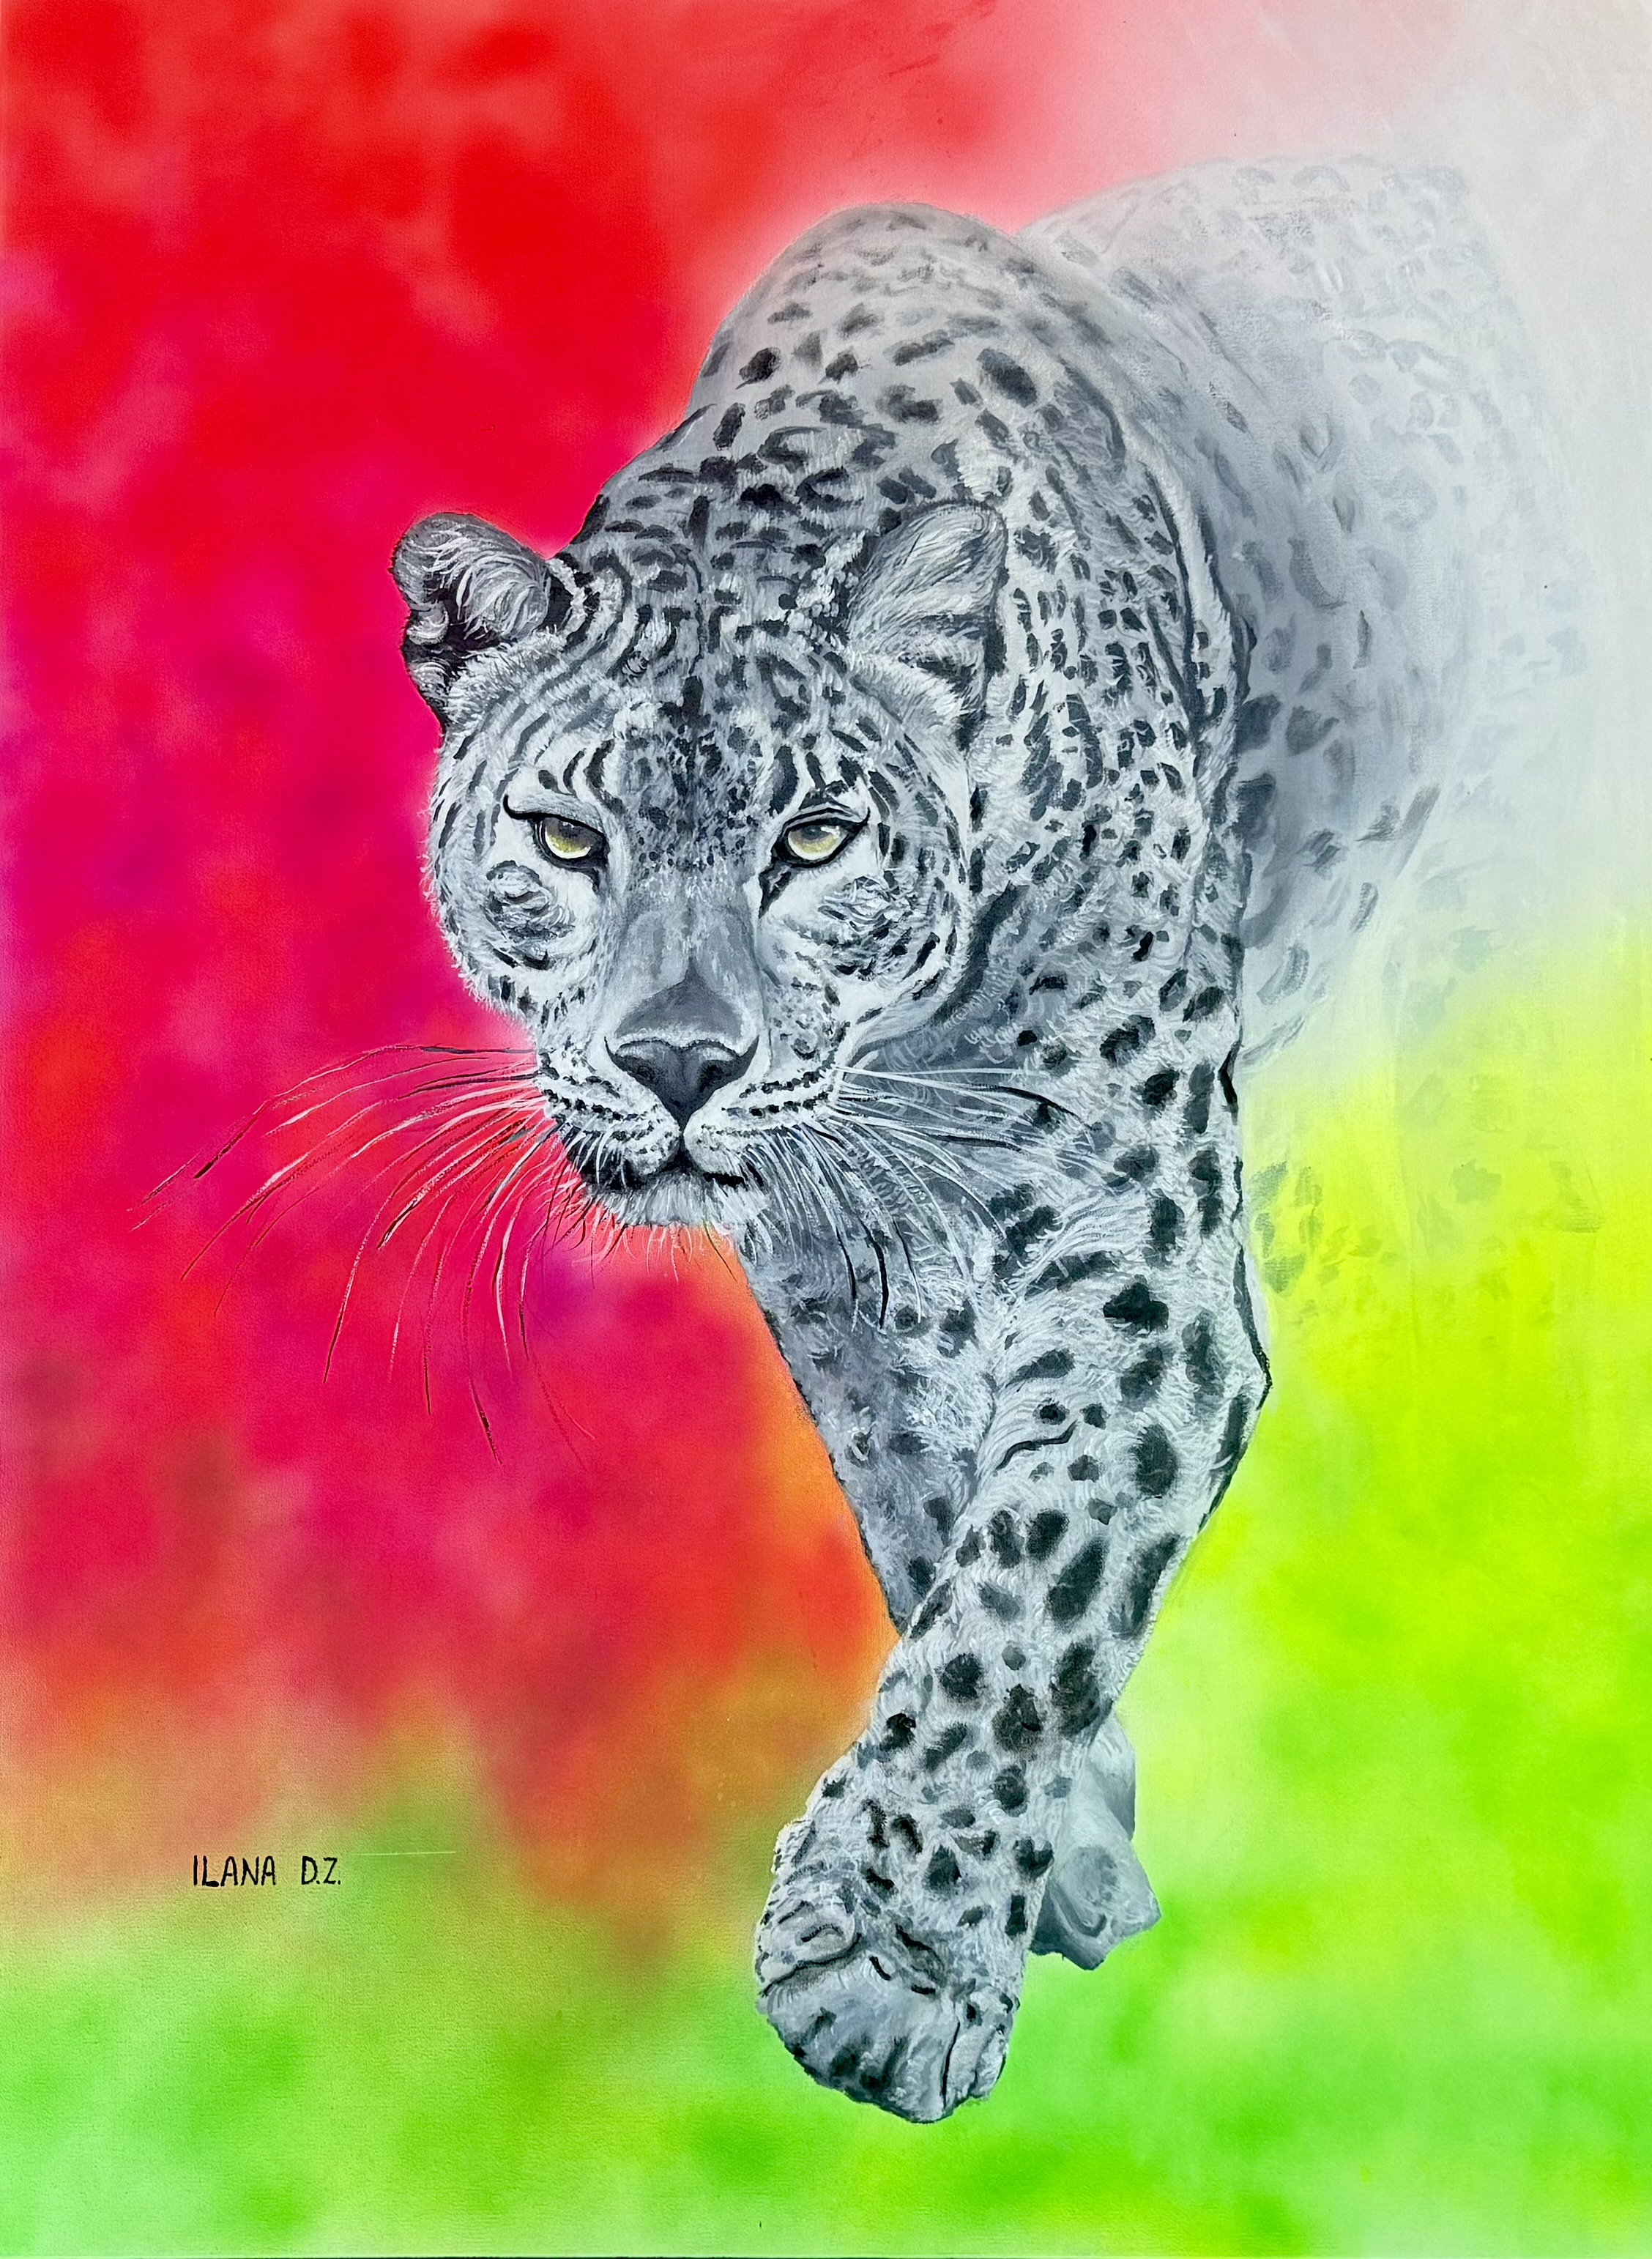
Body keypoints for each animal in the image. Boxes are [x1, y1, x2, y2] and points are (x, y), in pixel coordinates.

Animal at [390, 157, 1574, 2121]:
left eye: (813, 839)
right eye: (565, 839)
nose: (679, 1063)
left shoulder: (1137, 1259)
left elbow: (1039, 1566)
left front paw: (886, 1961)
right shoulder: (844, 1267)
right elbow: (935, 1501)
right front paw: (1067, 1848)